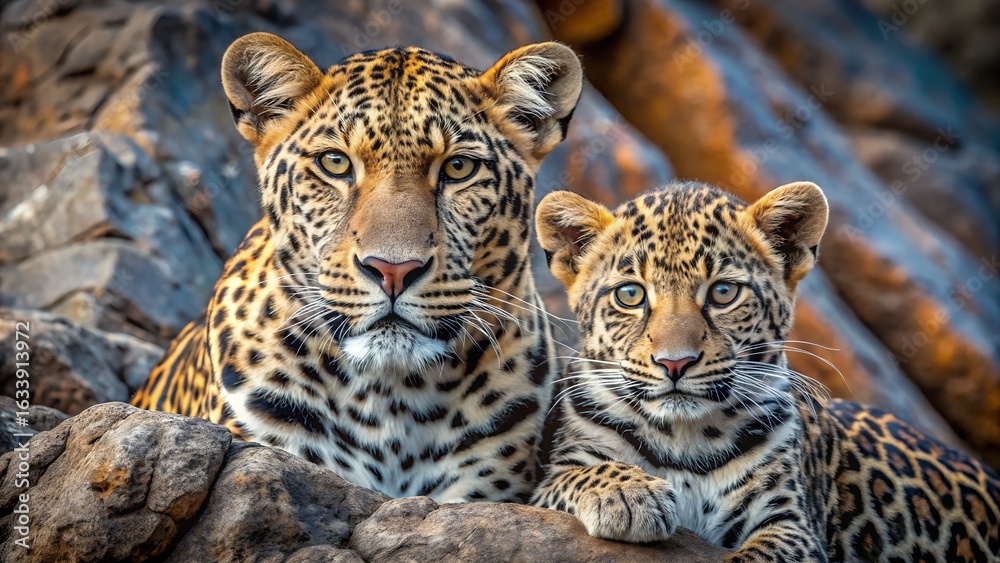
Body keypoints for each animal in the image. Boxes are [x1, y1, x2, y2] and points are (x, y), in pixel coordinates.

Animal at [530, 181, 1000, 561]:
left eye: (723, 292)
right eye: (630, 294)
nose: (674, 362)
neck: (682, 439)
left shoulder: (790, 523)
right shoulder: (547, 480)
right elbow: (578, 473)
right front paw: (628, 493)